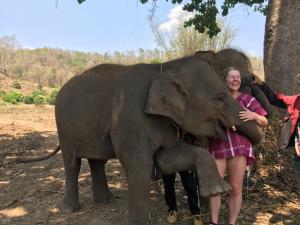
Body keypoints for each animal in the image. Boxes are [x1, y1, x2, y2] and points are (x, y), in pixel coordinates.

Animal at [18, 55, 262, 225]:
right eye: (220, 97)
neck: (165, 68)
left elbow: (165, 159)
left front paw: (218, 190)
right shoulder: (130, 119)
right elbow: (139, 165)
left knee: (97, 161)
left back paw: (105, 201)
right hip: (64, 127)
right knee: (72, 164)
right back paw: (70, 209)